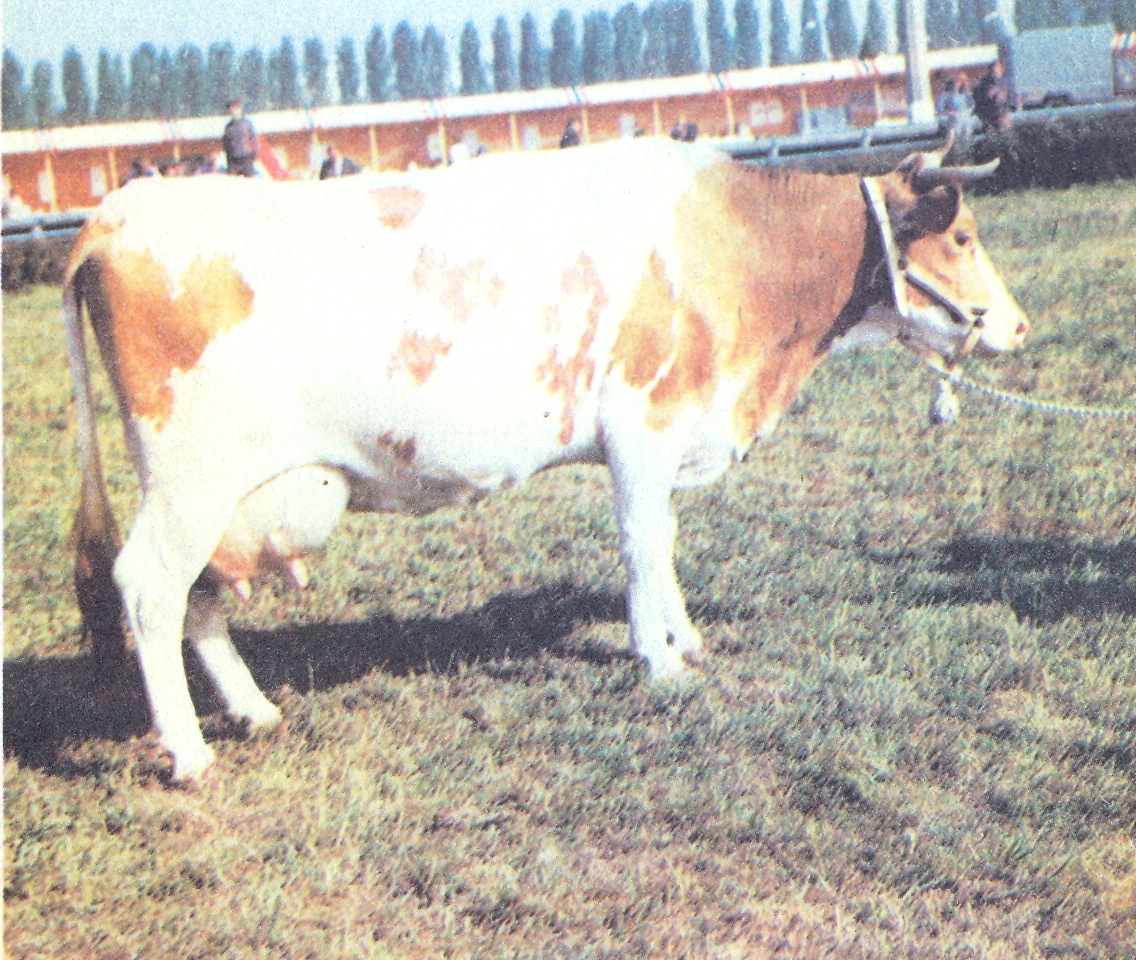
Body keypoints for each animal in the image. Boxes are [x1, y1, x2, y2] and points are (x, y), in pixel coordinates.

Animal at [62, 136, 1029, 781]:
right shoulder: (640, 426)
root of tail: (114, 215)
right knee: (148, 587)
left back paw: (254, 711)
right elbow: (643, 543)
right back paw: (189, 753)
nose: (1019, 327)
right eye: (964, 238)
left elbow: (664, 541)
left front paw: (685, 637)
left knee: (198, 600)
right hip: (189, 481)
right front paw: (657, 657)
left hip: (225, 496)